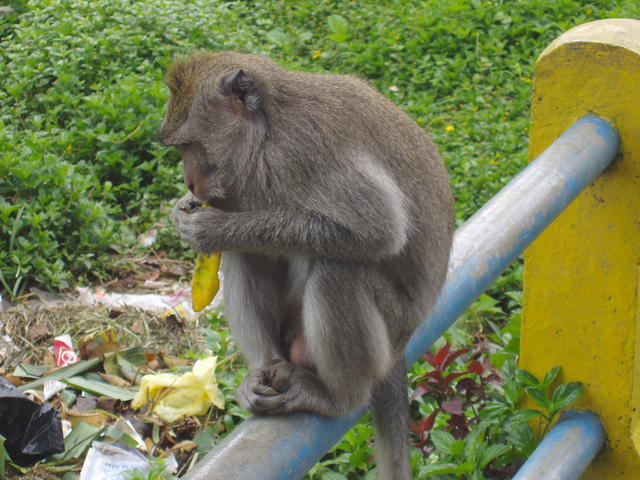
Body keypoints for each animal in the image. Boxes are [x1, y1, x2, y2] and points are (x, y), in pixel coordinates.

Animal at [159, 51, 454, 480]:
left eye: (188, 145)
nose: (190, 183)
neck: (267, 131)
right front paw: (184, 211)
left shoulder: (300, 152)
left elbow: (378, 230)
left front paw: (212, 229)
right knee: (247, 254)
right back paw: (265, 368)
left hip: (392, 325)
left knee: (338, 271)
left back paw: (337, 398)